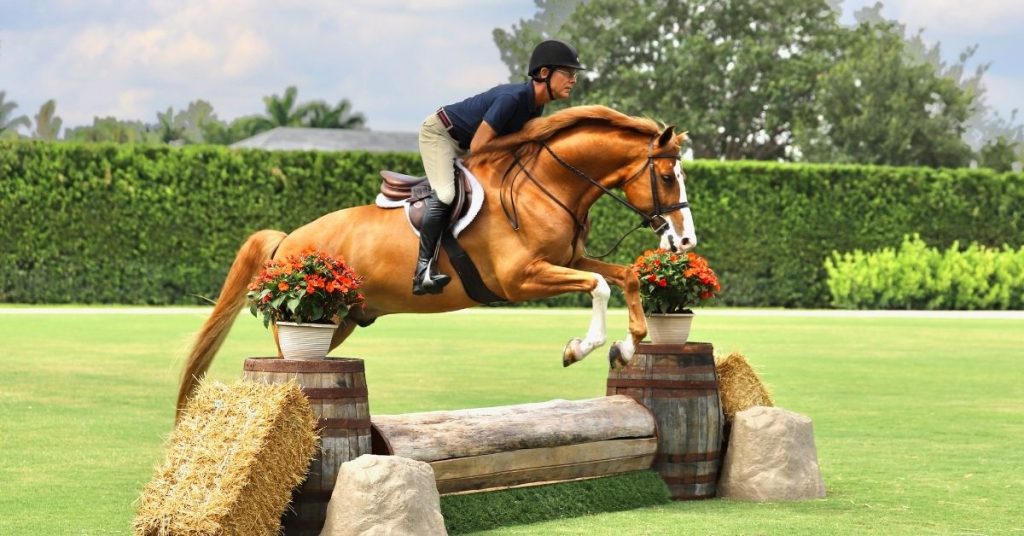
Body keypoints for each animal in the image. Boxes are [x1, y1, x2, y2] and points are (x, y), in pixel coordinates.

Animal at [177, 105, 695, 413]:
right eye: (667, 176)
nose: (684, 242)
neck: (544, 184)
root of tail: (288, 240)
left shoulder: (570, 259)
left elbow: (625, 276)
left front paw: (625, 349)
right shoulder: (520, 279)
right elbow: (601, 287)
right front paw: (579, 348)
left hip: (340, 319)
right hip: (310, 317)